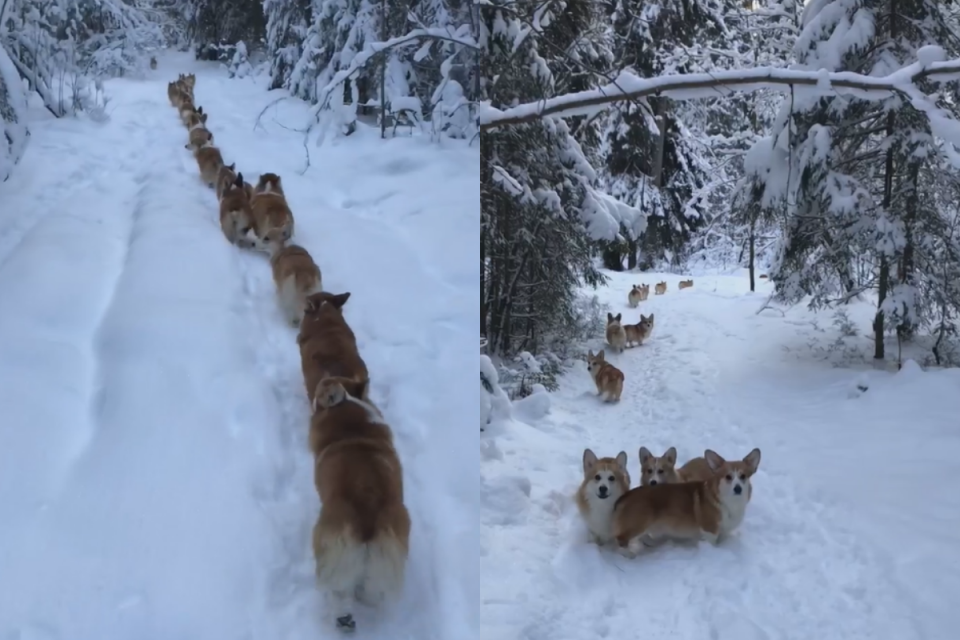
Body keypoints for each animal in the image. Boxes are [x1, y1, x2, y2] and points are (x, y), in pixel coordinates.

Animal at [312, 376, 408, 632]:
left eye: (321, 390)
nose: (323, 378)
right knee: (369, 592)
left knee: (339, 594)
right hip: (384, 559)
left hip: (331, 549)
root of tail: (367, 519)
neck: (353, 429)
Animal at [616, 444, 764, 556]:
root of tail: (628, 495)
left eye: (743, 476)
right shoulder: (709, 531)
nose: (738, 489)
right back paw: (629, 554)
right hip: (641, 522)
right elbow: (712, 543)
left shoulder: (723, 531)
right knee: (621, 539)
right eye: (728, 477)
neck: (727, 502)